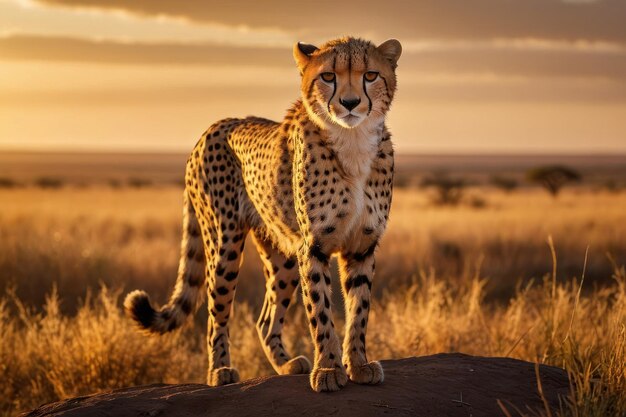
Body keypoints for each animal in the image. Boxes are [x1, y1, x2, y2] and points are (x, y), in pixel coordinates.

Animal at [123, 35, 400, 390]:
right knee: (216, 313)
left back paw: (286, 364)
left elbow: (359, 310)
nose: (350, 103)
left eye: (370, 75)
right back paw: (220, 371)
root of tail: (215, 125)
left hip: (283, 254)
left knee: (265, 320)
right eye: (328, 76)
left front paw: (359, 364)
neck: (353, 141)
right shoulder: (314, 247)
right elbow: (321, 311)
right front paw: (328, 369)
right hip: (224, 244)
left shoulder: (361, 246)